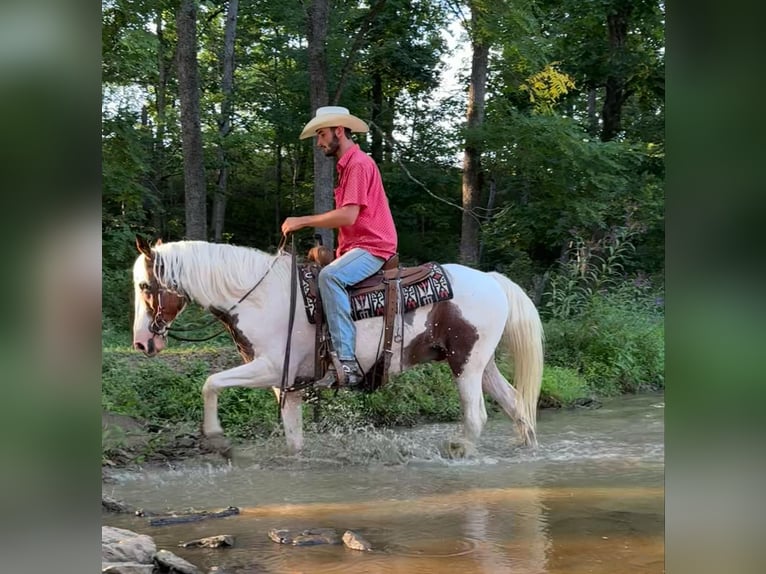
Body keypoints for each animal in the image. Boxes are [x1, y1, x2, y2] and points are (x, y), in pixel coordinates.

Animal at [131, 236, 544, 457]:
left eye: (144, 286)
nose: (141, 342)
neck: (259, 298)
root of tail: (491, 279)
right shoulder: (286, 384)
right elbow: (294, 438)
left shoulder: (269, 367)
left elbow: (210, 382)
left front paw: (216, 437)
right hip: (481, 363)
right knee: (514, 403)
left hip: (466, 365)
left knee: (477, 416)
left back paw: (459, 452)